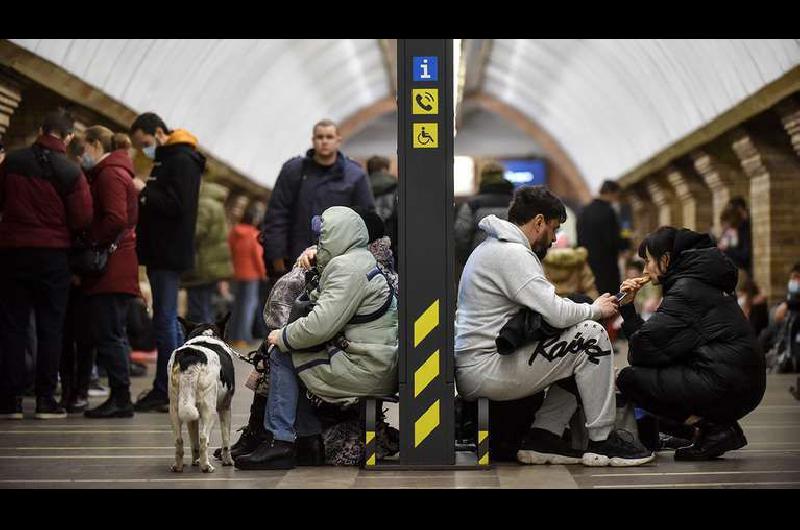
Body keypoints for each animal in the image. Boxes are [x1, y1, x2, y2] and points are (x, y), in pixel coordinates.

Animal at [166, 314, 234, 470]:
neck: (205, 335)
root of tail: (191, 357)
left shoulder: (193, 418)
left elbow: (194, 443)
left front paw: (195, 461)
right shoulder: (225, 408)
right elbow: (226, 441)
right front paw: (228, 461)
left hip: (175, 409)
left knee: (179, 440)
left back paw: (179, 466)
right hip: (210, 410)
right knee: (204, 438)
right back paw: (206, 466)